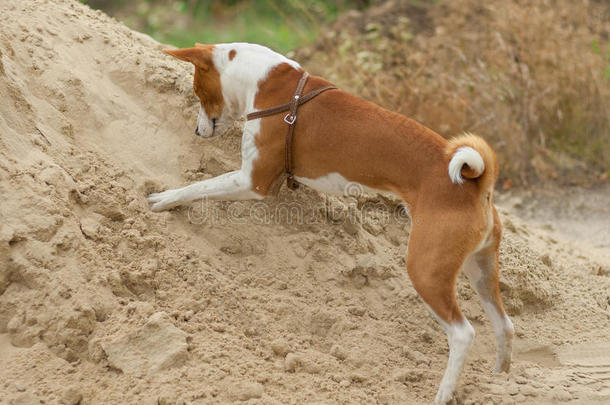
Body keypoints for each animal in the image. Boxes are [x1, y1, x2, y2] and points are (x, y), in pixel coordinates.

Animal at [148, 42, 512, 402]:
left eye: (198, 91)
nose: (197, 130)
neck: (271, 84)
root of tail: (477, 185)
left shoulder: (252, 182)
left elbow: (199, 186)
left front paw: (164, 199)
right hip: (480, 269)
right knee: (504, 325)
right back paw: (501, 380)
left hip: (426, 270)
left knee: (463, 333)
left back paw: (445, 392)